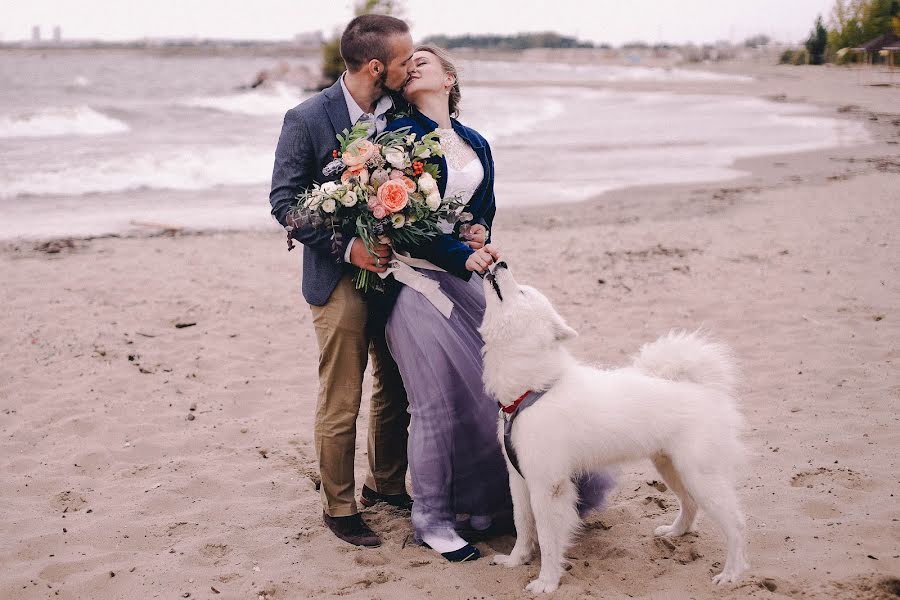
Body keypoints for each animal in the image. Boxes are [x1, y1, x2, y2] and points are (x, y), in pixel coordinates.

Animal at [482, 264, 748, 596]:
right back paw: (674, 532)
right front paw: (515, 561)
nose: (500, 263)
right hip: (671, 468)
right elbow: (522, 523)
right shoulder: (519, 478)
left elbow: (547, 537)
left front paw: (547, 581)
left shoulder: (548, 485)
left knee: (735, 524)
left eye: (522, 292)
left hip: (701, 476)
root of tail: (705, 389)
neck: (533, 390)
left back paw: (732, 573)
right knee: (690, 504)